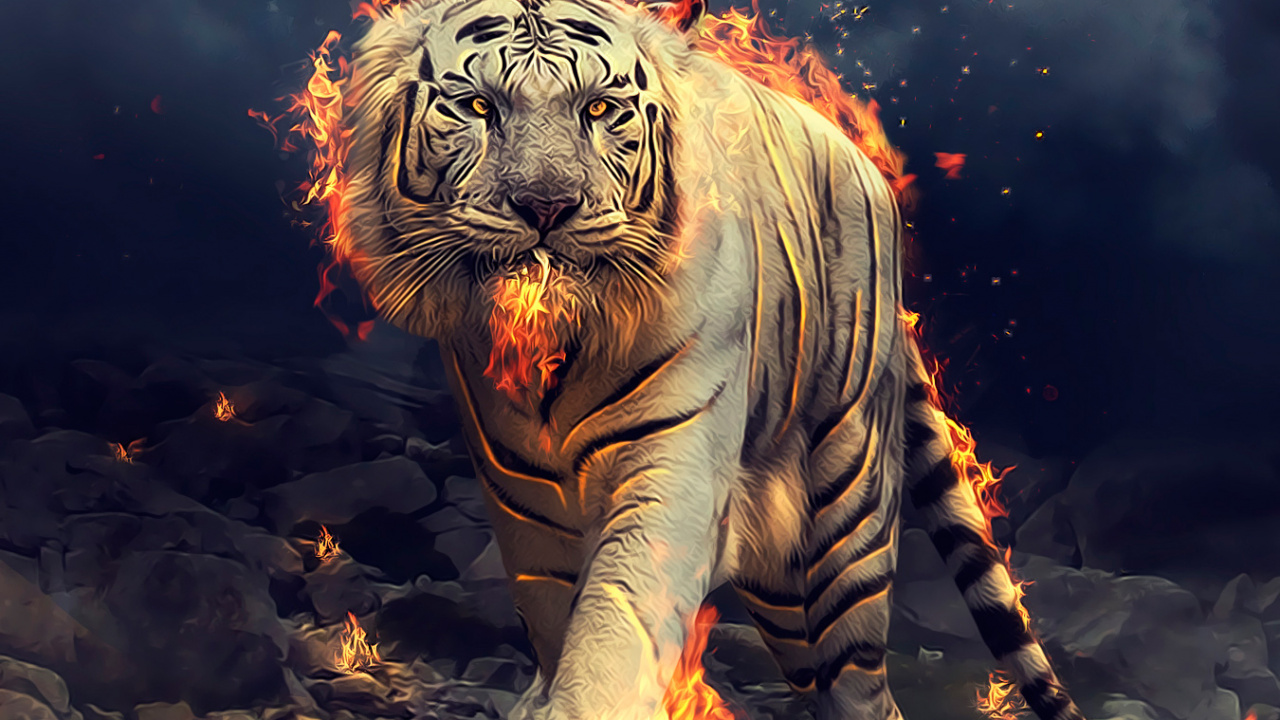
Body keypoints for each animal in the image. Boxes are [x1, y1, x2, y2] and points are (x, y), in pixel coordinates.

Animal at [337, 0, 1087, 719]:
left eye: (599, 109)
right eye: (478, 106)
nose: (546, 206)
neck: (553, 348)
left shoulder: (673, 471)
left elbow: (618, 622)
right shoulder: (521, 499)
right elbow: (552, 618)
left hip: (842, 518)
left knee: (862, 686)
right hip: (785, 591)